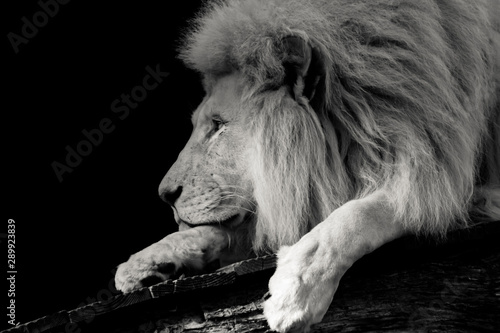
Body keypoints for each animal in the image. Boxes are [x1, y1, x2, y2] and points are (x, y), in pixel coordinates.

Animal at [114, 0, 500, 330]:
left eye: (219, 125)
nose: (165, 194)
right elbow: (229, 231)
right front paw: (148, 260)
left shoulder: (451, 177)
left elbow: (360, 214)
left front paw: (295, 290)